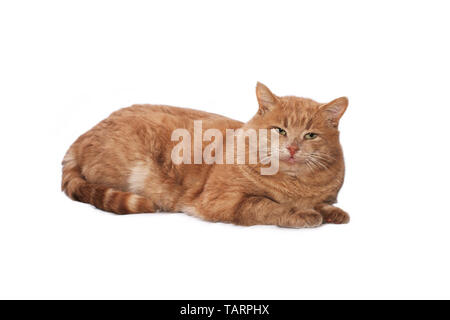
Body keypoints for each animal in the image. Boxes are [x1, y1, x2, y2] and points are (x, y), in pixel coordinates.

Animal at [61, 82, 348, 228]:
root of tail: (83, 135)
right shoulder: (224, 201)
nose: (292, 148)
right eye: (280, 130)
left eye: (310, 135)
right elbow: (268, 205)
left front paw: (329, 211)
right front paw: (302, 214)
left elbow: (321, 203)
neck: (295, 184)